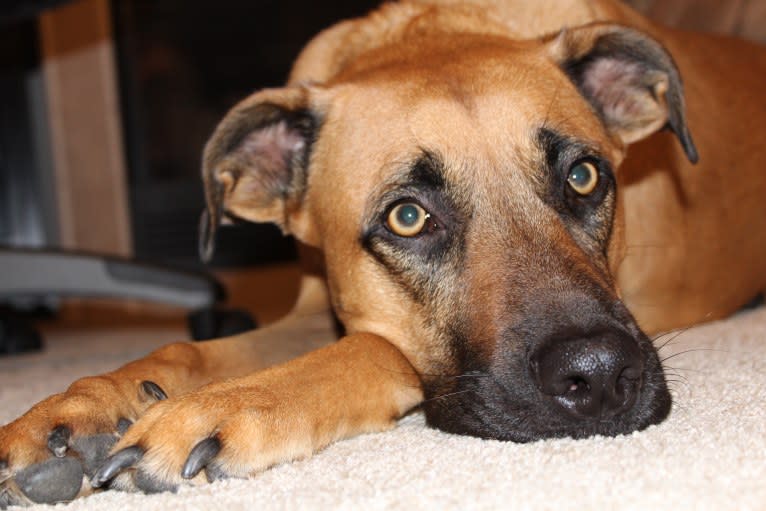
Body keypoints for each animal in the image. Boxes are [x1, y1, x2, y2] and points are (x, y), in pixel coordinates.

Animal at [1, 1, 766, 508]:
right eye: (408, 217)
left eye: (583, 176)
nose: (601, 375)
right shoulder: (314, 305)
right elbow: (180, 350)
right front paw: (79, 409)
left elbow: (370, 347)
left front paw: (217, 408)